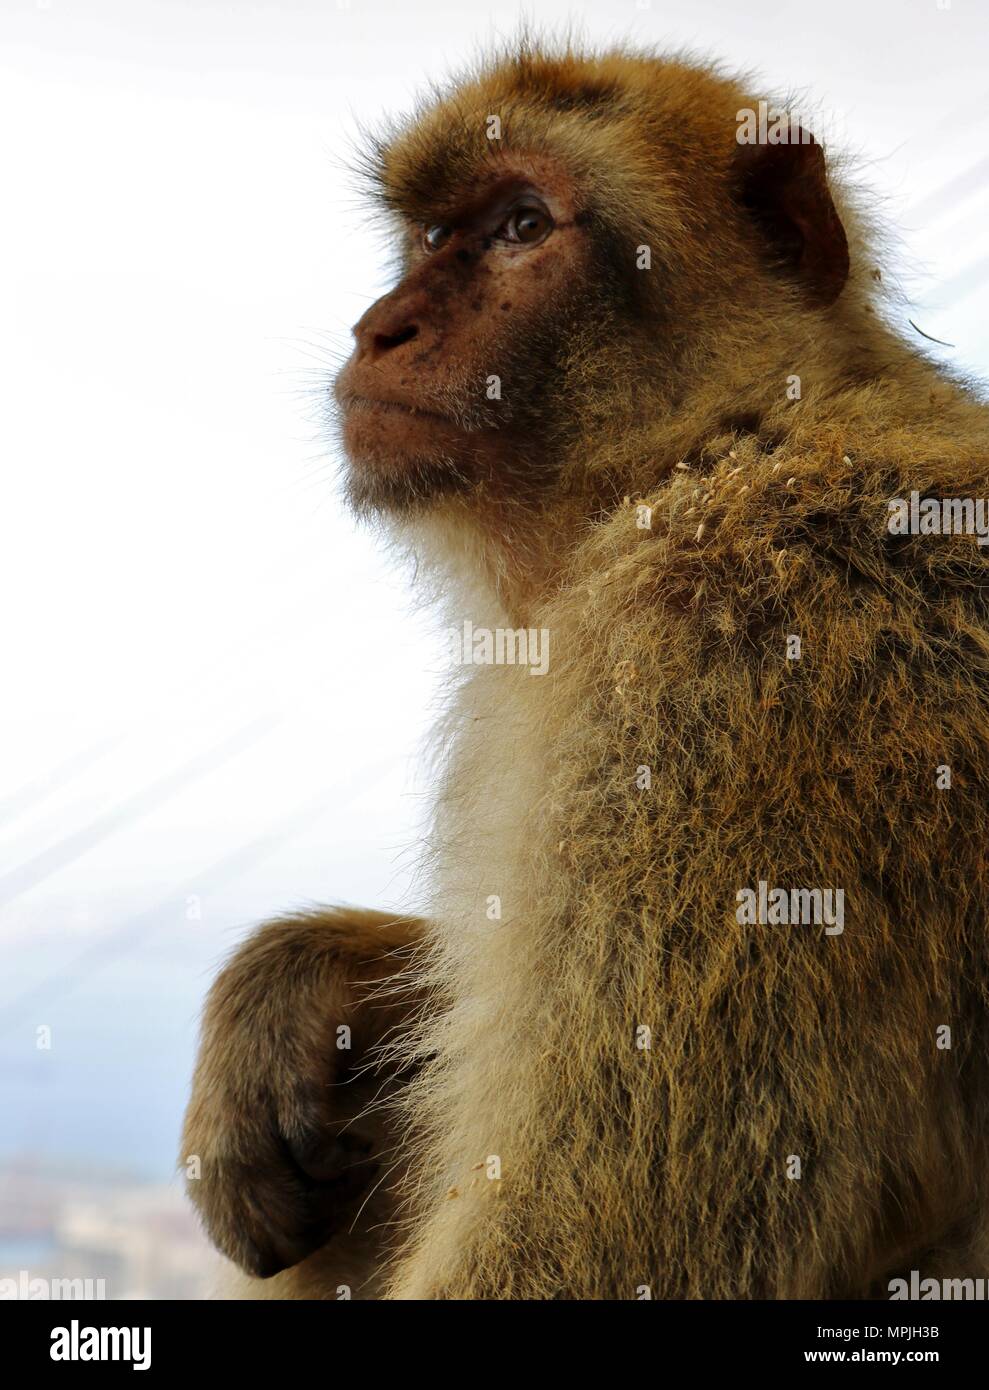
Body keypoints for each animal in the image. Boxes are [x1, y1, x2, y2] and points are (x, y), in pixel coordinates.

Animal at [182, 38, 989, 1300]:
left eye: (522, 225)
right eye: (429, 235)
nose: (380, 329)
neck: (708, 446)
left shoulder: (729, 661)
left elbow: (589, 1244)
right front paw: (294, 982)